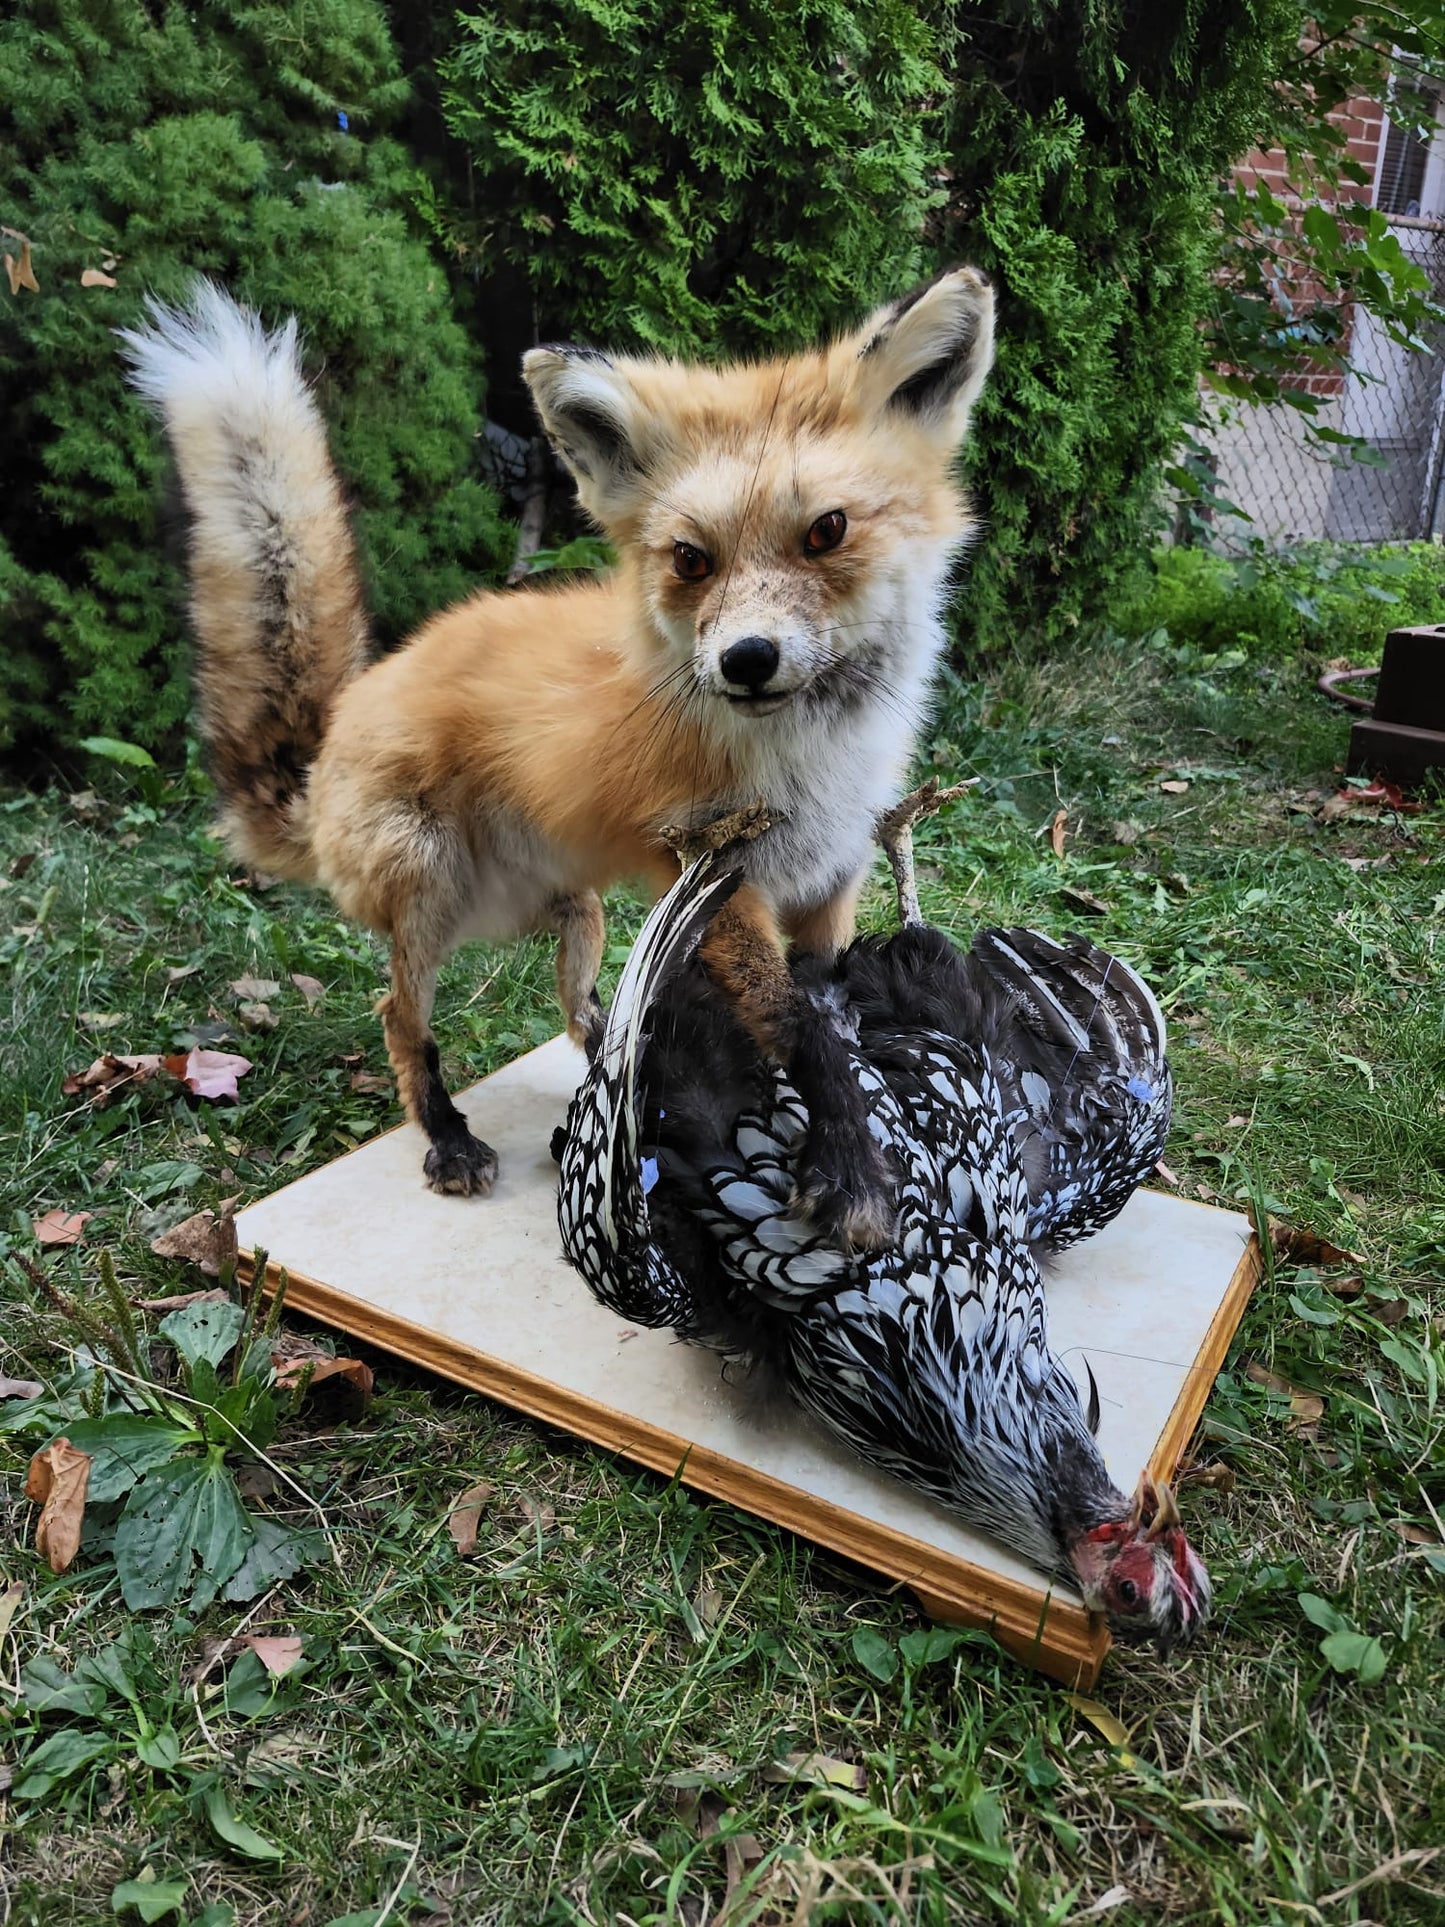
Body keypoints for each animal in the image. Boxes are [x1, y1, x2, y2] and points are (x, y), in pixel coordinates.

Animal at [119, 267, 994, 1250]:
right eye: (690, 559)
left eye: (826, 531)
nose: (744, 659)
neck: (815, 758)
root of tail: (337, 728)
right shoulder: (719, 874)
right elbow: (797, 1025)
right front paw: (852, 1175)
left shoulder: (829, 878)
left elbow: (827, 1018)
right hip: (427, 884)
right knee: (399, 1017)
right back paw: (447, 1135)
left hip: (582, 910)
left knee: (580, 1012)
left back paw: (623, 1069)